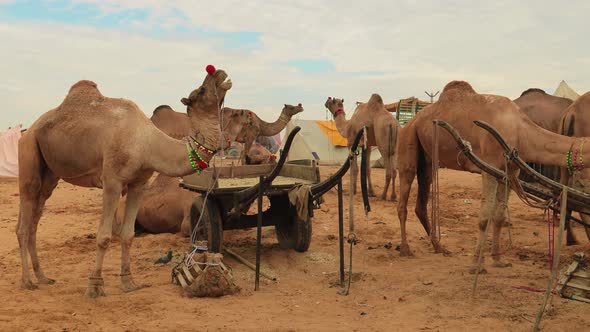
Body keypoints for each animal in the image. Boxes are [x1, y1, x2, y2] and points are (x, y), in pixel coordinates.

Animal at [16, 64, 234, 296]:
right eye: (202, 90)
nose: (219, 72)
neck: (147, 142)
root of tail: (28, 131)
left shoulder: (139, 183)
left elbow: (128, 234)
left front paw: (129, 283)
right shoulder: (112, 181)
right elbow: (104, 236)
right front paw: (94, 286)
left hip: (49, 173)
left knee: (35, 218)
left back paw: (43, 277)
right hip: (28, 154)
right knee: (24, 217)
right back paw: (27, 281)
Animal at [396, 80, 590, 272]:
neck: (520, 130)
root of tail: (410, 122)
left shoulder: (509, 171)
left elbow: (499, 216)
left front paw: (498, 259)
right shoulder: (489, 167)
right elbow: (485, 217)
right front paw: (476, 264)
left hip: (427, 159)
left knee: (421, 200)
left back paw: (440, 247)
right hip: (407, 141)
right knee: (403, 197)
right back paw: (405, 249)